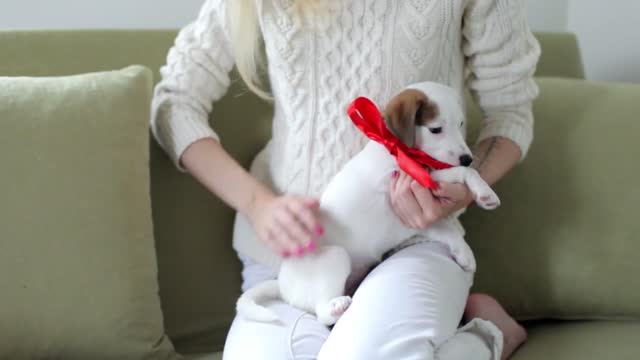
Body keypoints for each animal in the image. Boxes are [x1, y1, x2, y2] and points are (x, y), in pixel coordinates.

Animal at [236, 81, 500, 326]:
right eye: (436, 129)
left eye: (461, 124)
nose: (468, 158)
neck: (400, 150)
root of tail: (282, 285)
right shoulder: (410, 181)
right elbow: (459, 174)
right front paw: (483, 191)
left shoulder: (412, 216)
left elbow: (445, 229)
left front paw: (464, 252)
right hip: (335, 256)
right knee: (322, 314)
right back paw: (337, 307)